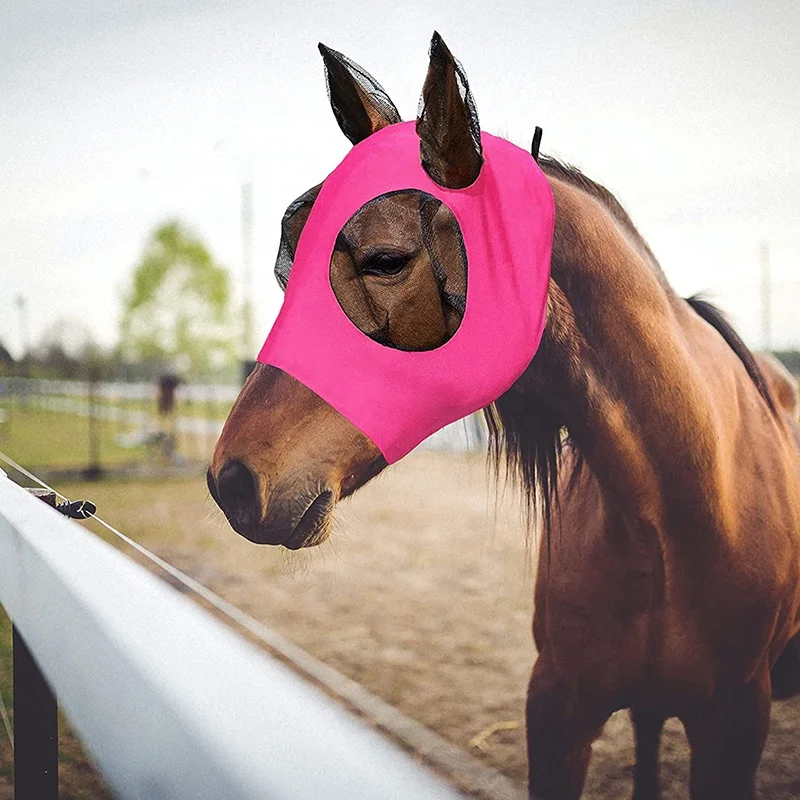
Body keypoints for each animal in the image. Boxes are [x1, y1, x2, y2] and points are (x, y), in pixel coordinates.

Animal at [208, 35, 800, 799]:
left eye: (386, 260)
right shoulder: (556, 709)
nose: (231, 480)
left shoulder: (735, 723)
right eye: (285, 273)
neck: (678, 512)